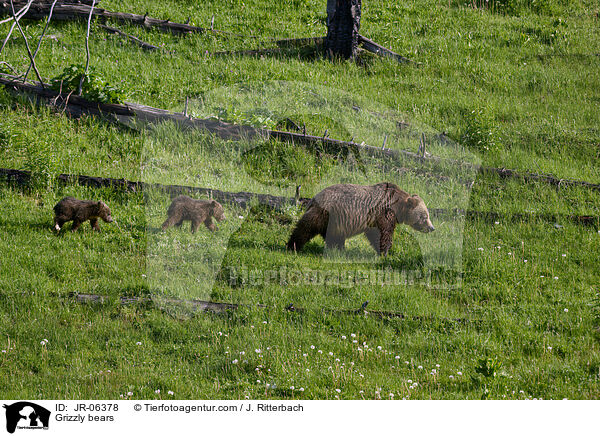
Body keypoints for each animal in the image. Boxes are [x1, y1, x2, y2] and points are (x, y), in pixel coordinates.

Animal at [288, 181, 434, 255]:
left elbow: (374, 233)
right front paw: (385, 251)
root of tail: (313, 198)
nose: (432, 228)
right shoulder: (383, 213)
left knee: (333, 236)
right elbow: (383, 233)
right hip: (325, 213)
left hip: (333, 221)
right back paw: (292, 246)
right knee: (305, 228)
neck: (398, 206)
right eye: (424, 216)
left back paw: (338, 249)